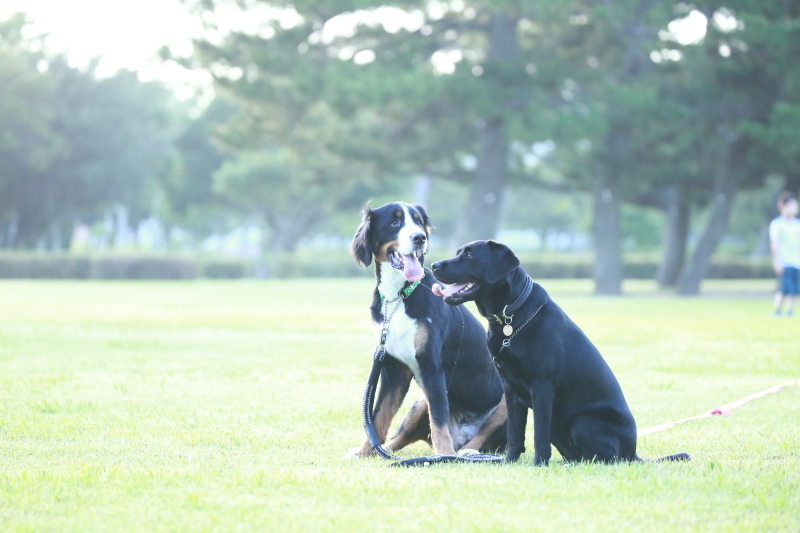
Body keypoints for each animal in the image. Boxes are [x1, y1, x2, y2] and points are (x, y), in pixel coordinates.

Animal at [346, 204, 506, 458]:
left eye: (418, 222)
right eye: (394, 222)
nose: (419, 238)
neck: (398, 296)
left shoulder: (432, 365)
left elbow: (438, 419)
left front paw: (445, 455)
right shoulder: (393, 368)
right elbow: (379, 416)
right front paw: (364, 452)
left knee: (478, 439)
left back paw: (466, 453)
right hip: (420, 402)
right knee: (399, 438)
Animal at [432, 239, 688, 464]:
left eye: (469, 255)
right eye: (459, 252)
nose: (434, 265)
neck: (510, 315)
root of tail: (633, 453)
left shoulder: (542, 388)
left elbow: (538, 436)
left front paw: (538, 465)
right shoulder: (511, 390)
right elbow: (515, 435)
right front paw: (509, 462)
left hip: (583, 421)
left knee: (607, 459)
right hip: (559, 425)